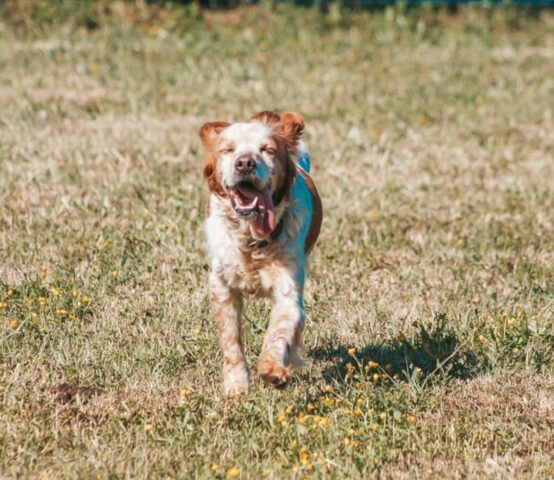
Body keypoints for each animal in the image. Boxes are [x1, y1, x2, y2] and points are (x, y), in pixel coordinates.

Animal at [198, 110, 322, 396]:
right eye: (227, 149)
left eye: (267, 150)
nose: (245, 163)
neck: (251, 239)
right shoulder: (221, 287)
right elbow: (231, 340)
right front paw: (237, 387)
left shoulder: (289, 291)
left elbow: (279, 331)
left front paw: (272, 369)